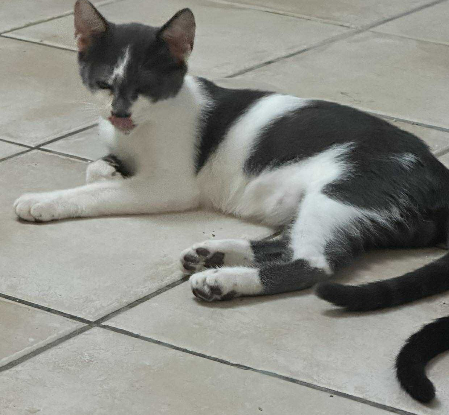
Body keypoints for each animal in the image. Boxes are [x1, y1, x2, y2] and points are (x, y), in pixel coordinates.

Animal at [13, 0, 449, 402]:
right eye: (104, 83)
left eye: (144, 87)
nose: (119, 112)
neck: (146, 127)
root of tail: (436, 170)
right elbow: (96, 170)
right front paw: (107, 167)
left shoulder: (169, 186)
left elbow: (93, 193)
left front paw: (42, 201)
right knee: (287, 243)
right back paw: (215, 254)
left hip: (341, 191)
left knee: (314, 264)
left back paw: (223, 281)